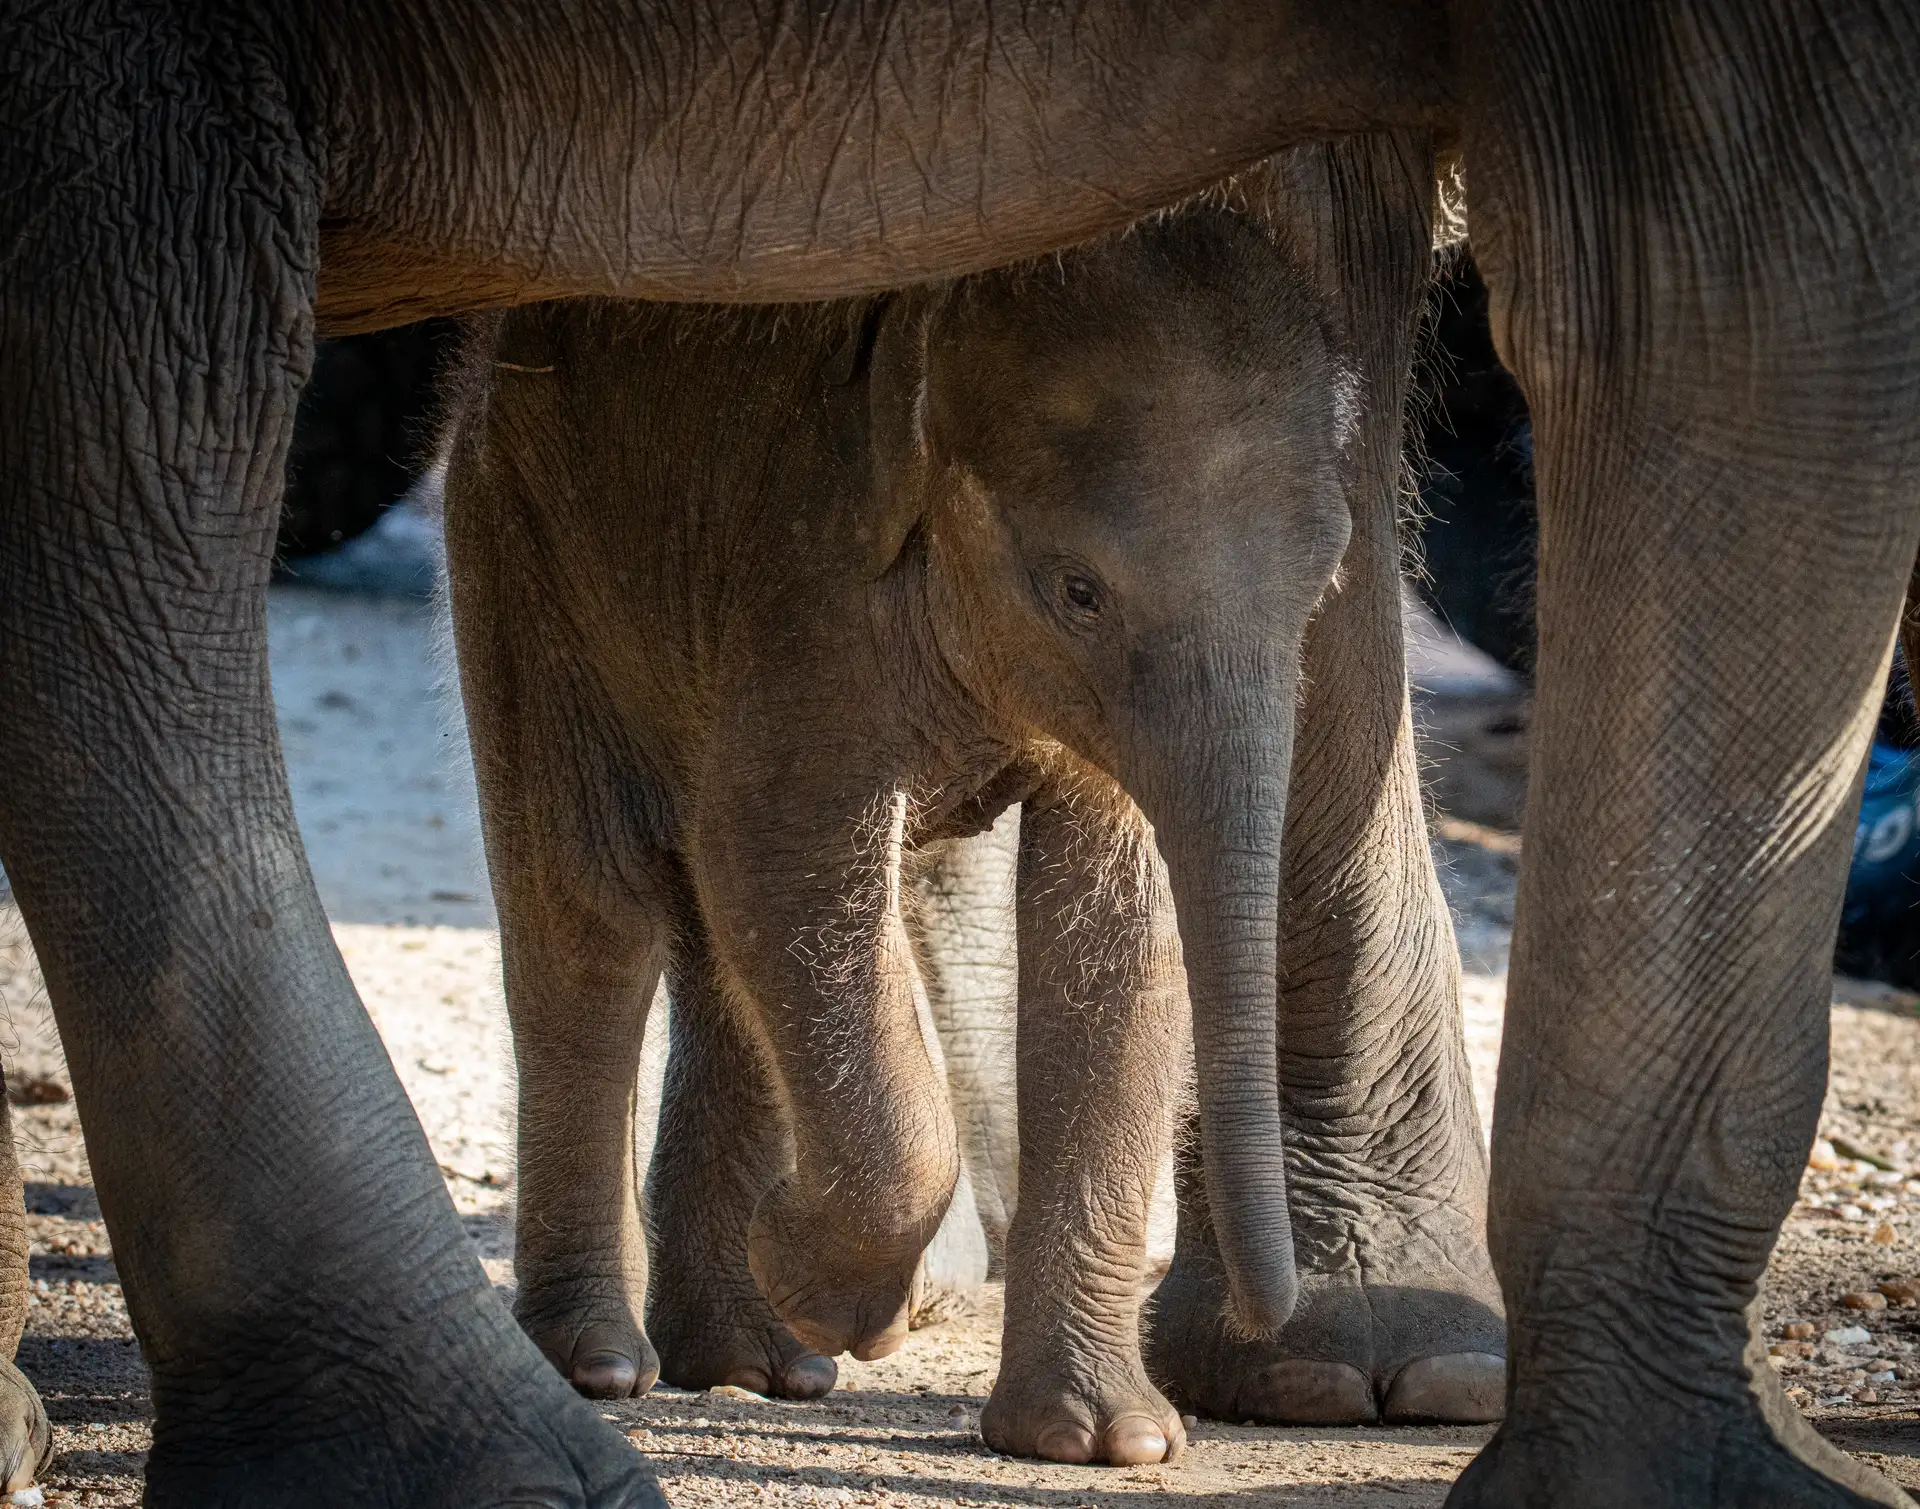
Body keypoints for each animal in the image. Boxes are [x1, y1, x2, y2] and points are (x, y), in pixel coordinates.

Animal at [5, 3, 1917, 1505]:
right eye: (1074, 586)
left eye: (1314, 586)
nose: (1272, 1299)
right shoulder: (811, 600)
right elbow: (795, 864)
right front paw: (859, 1293)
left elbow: (1104, 931)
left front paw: (1107, 1438)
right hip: (518, 560)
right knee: (598, 911)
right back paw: (607, 1376)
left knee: (713, 937)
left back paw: (759, 1358)